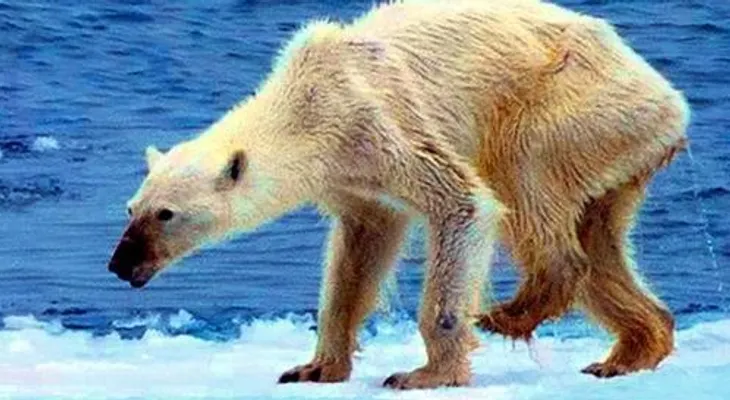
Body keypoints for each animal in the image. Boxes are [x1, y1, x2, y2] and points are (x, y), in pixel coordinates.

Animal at [107, 0, 690, 390]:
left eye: (166, 214)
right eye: (132, 208)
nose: (119, 263)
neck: (307, 104)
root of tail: (670, 100)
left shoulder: (378, 123)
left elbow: (462, 203)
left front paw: (425, 373)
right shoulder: (350, 176)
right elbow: (359, 252)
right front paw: (314, 366)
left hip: (571, 104)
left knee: (525, 177)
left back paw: (513, 311)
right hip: (617, 150)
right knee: (600, 240)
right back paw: (629, 350)